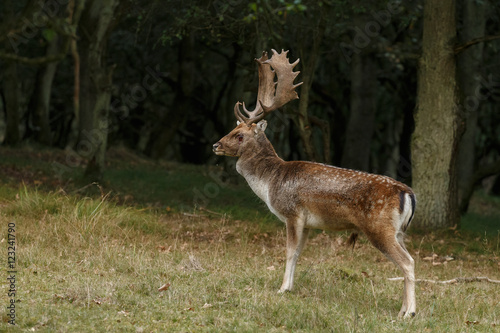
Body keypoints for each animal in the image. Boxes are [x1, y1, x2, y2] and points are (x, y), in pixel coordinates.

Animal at [212, 48, 418, 316]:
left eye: (239, 135)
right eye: (231, 129)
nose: (215, 145)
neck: (270, 182)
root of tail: (408, 193)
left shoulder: (292, 213)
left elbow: (290, 252)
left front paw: (282, 289)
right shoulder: (308, 222)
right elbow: (299, 253)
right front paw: (289, 287)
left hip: (379, 228)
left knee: (408, 262)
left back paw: (410, 313)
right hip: (399, 231)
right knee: (408, 260)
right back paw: (403, 309)